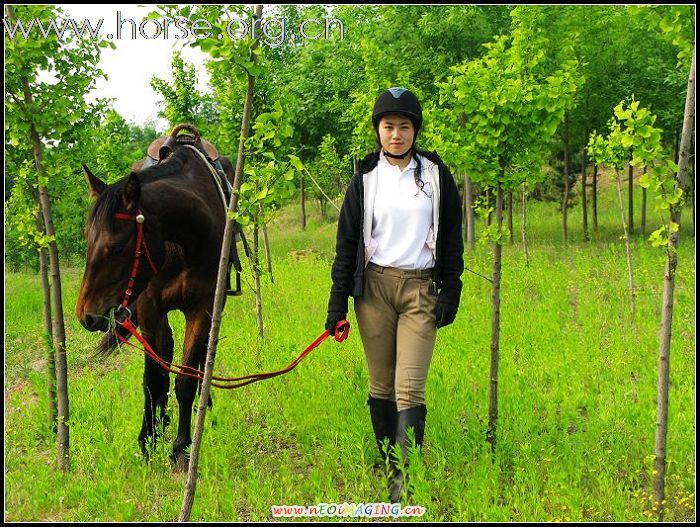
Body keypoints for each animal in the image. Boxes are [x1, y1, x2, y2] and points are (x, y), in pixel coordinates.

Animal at [77, 145, 235, 470]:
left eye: (117, 248)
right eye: (87, 240)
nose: (86, 315)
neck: (185, 242)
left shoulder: (203, 307)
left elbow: (185, 379)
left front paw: (181, 447)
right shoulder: (151, 309)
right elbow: (153, 379)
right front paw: (148, 440)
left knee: (199, 359)